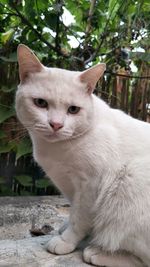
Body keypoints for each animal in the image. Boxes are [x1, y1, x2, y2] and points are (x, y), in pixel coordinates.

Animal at [15, 44, 150, 267]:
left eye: (73, 109)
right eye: (40, 103)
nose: (56, 124)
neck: (55, 151)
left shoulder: (91, 185)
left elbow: (80, 219)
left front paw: (66, 240)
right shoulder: (69, 186)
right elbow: (74, 212)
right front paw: (65, 227)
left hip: (129, 182)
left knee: (141, 258)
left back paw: (99, 253)